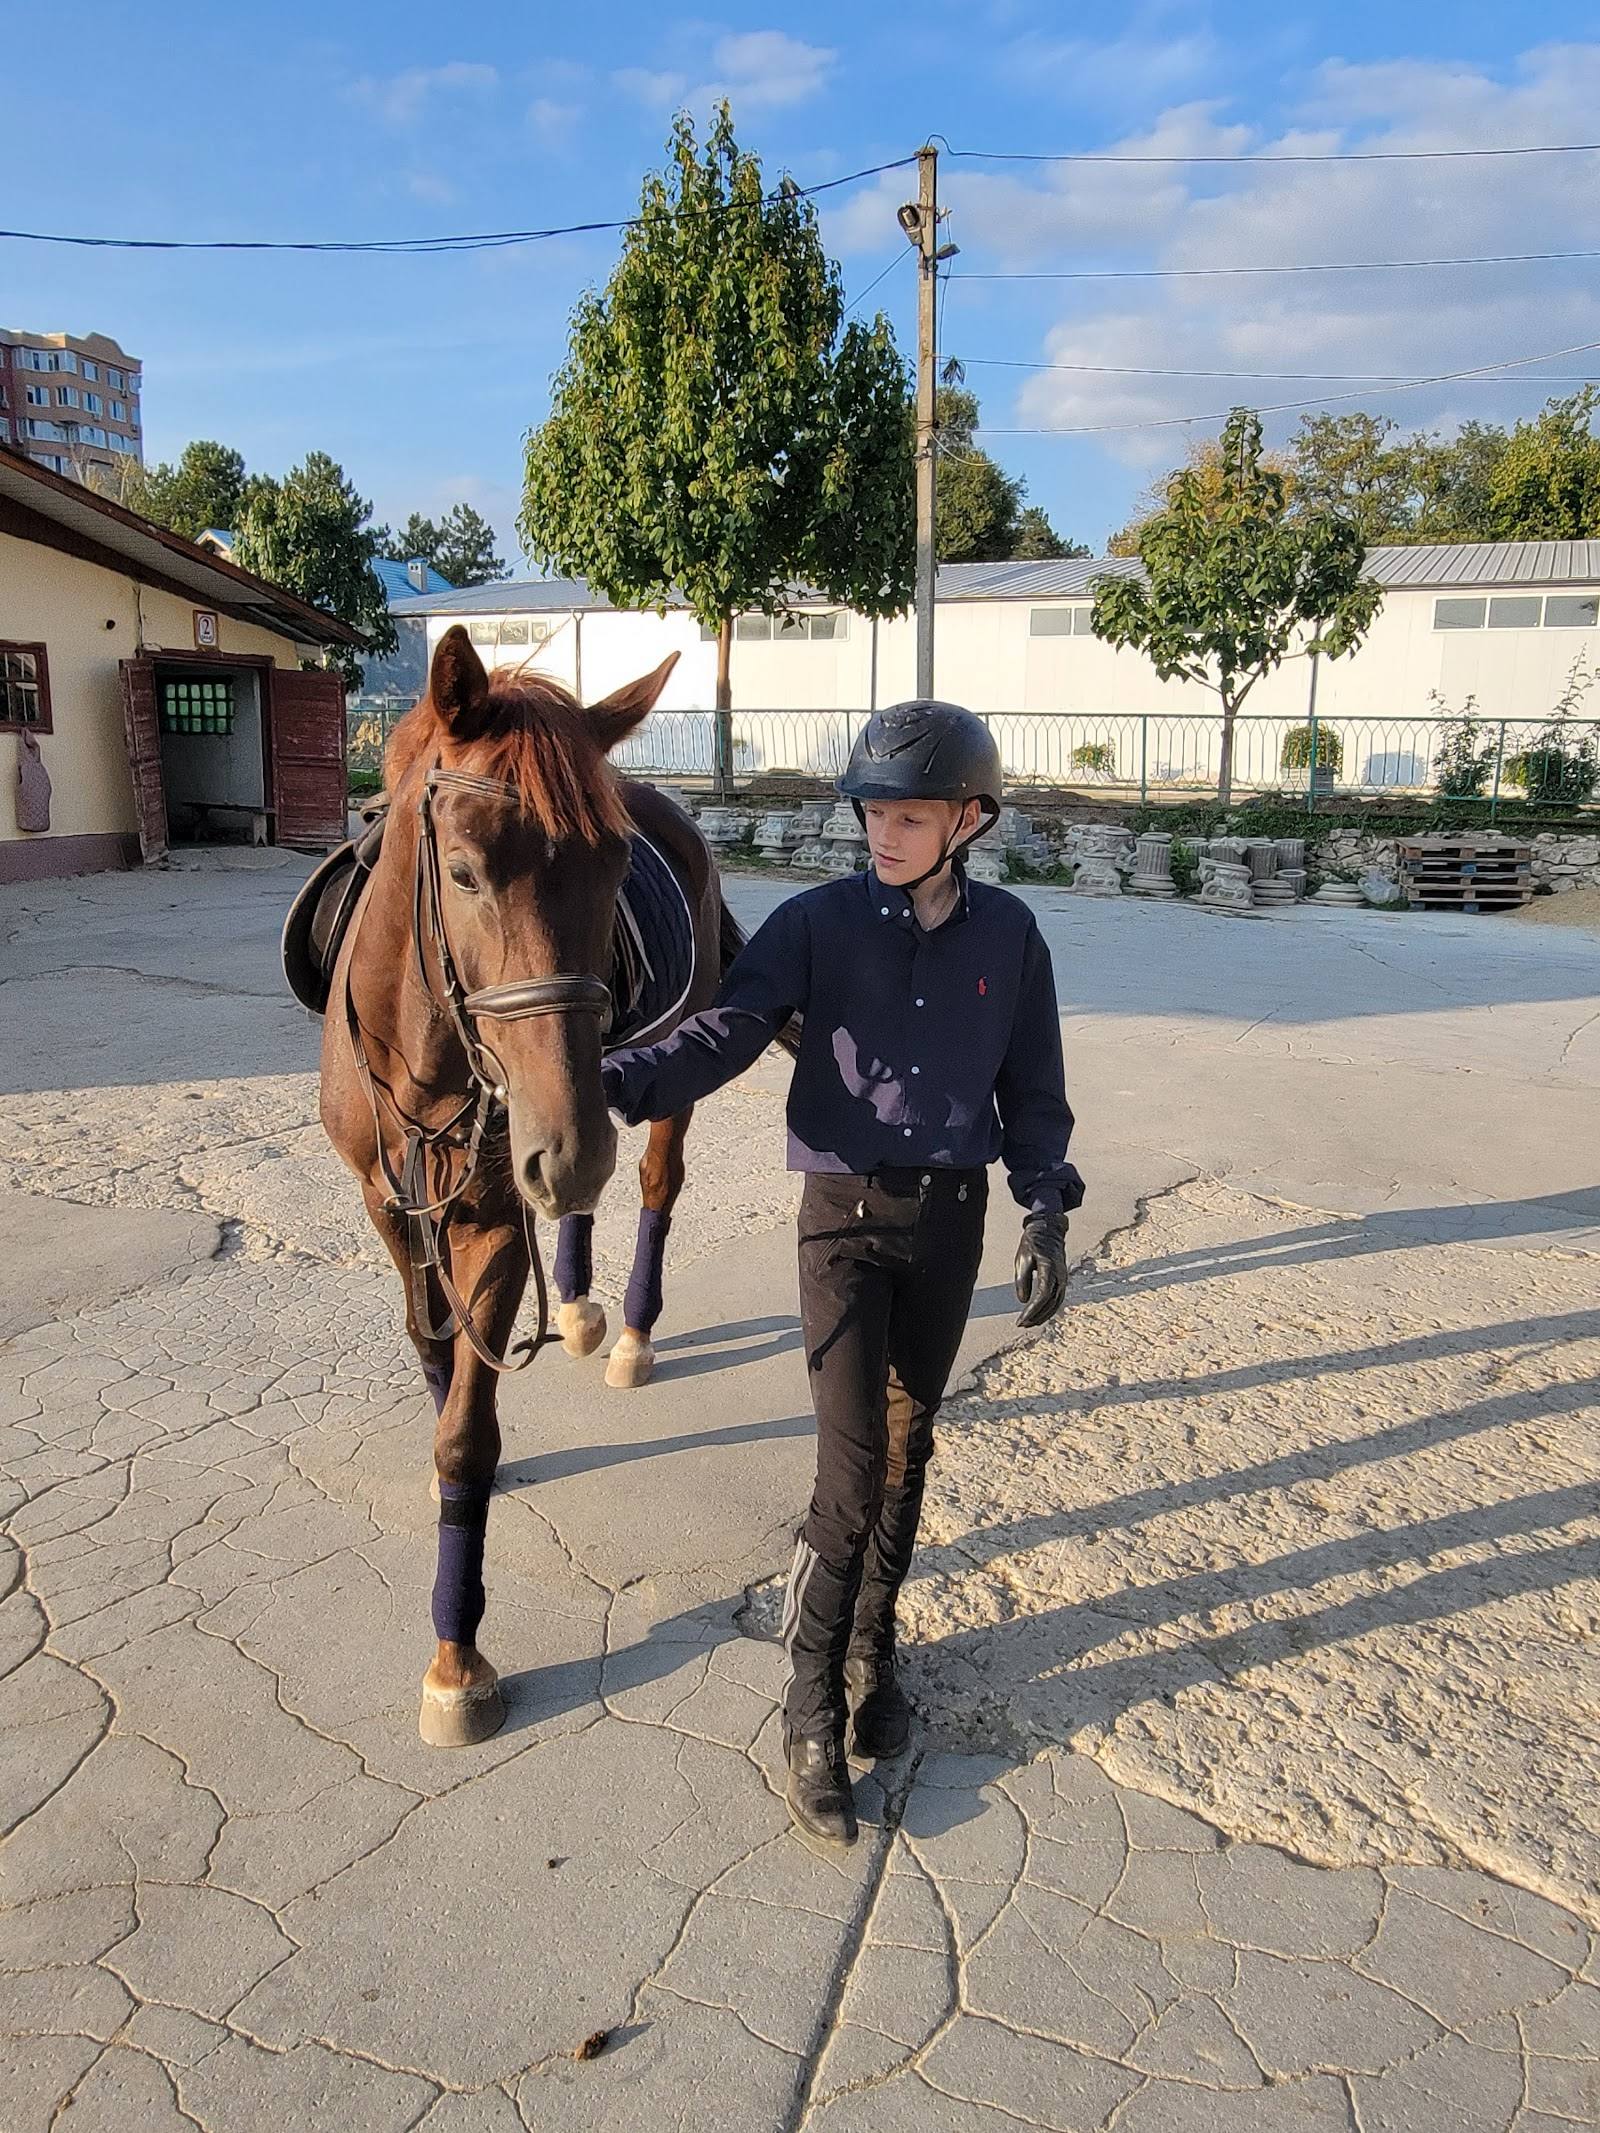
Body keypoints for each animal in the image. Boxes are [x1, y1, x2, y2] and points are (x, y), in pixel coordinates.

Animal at [318, 624, 727, 1747]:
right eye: (462, 871)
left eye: (615, 864)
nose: (565, 1148)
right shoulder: (390, 1203)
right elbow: (433, 1348)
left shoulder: (497, 1219)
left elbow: (468, 1434)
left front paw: (456, 1658)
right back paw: (581, 1303)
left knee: (655, 1182)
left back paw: (628, 1330)